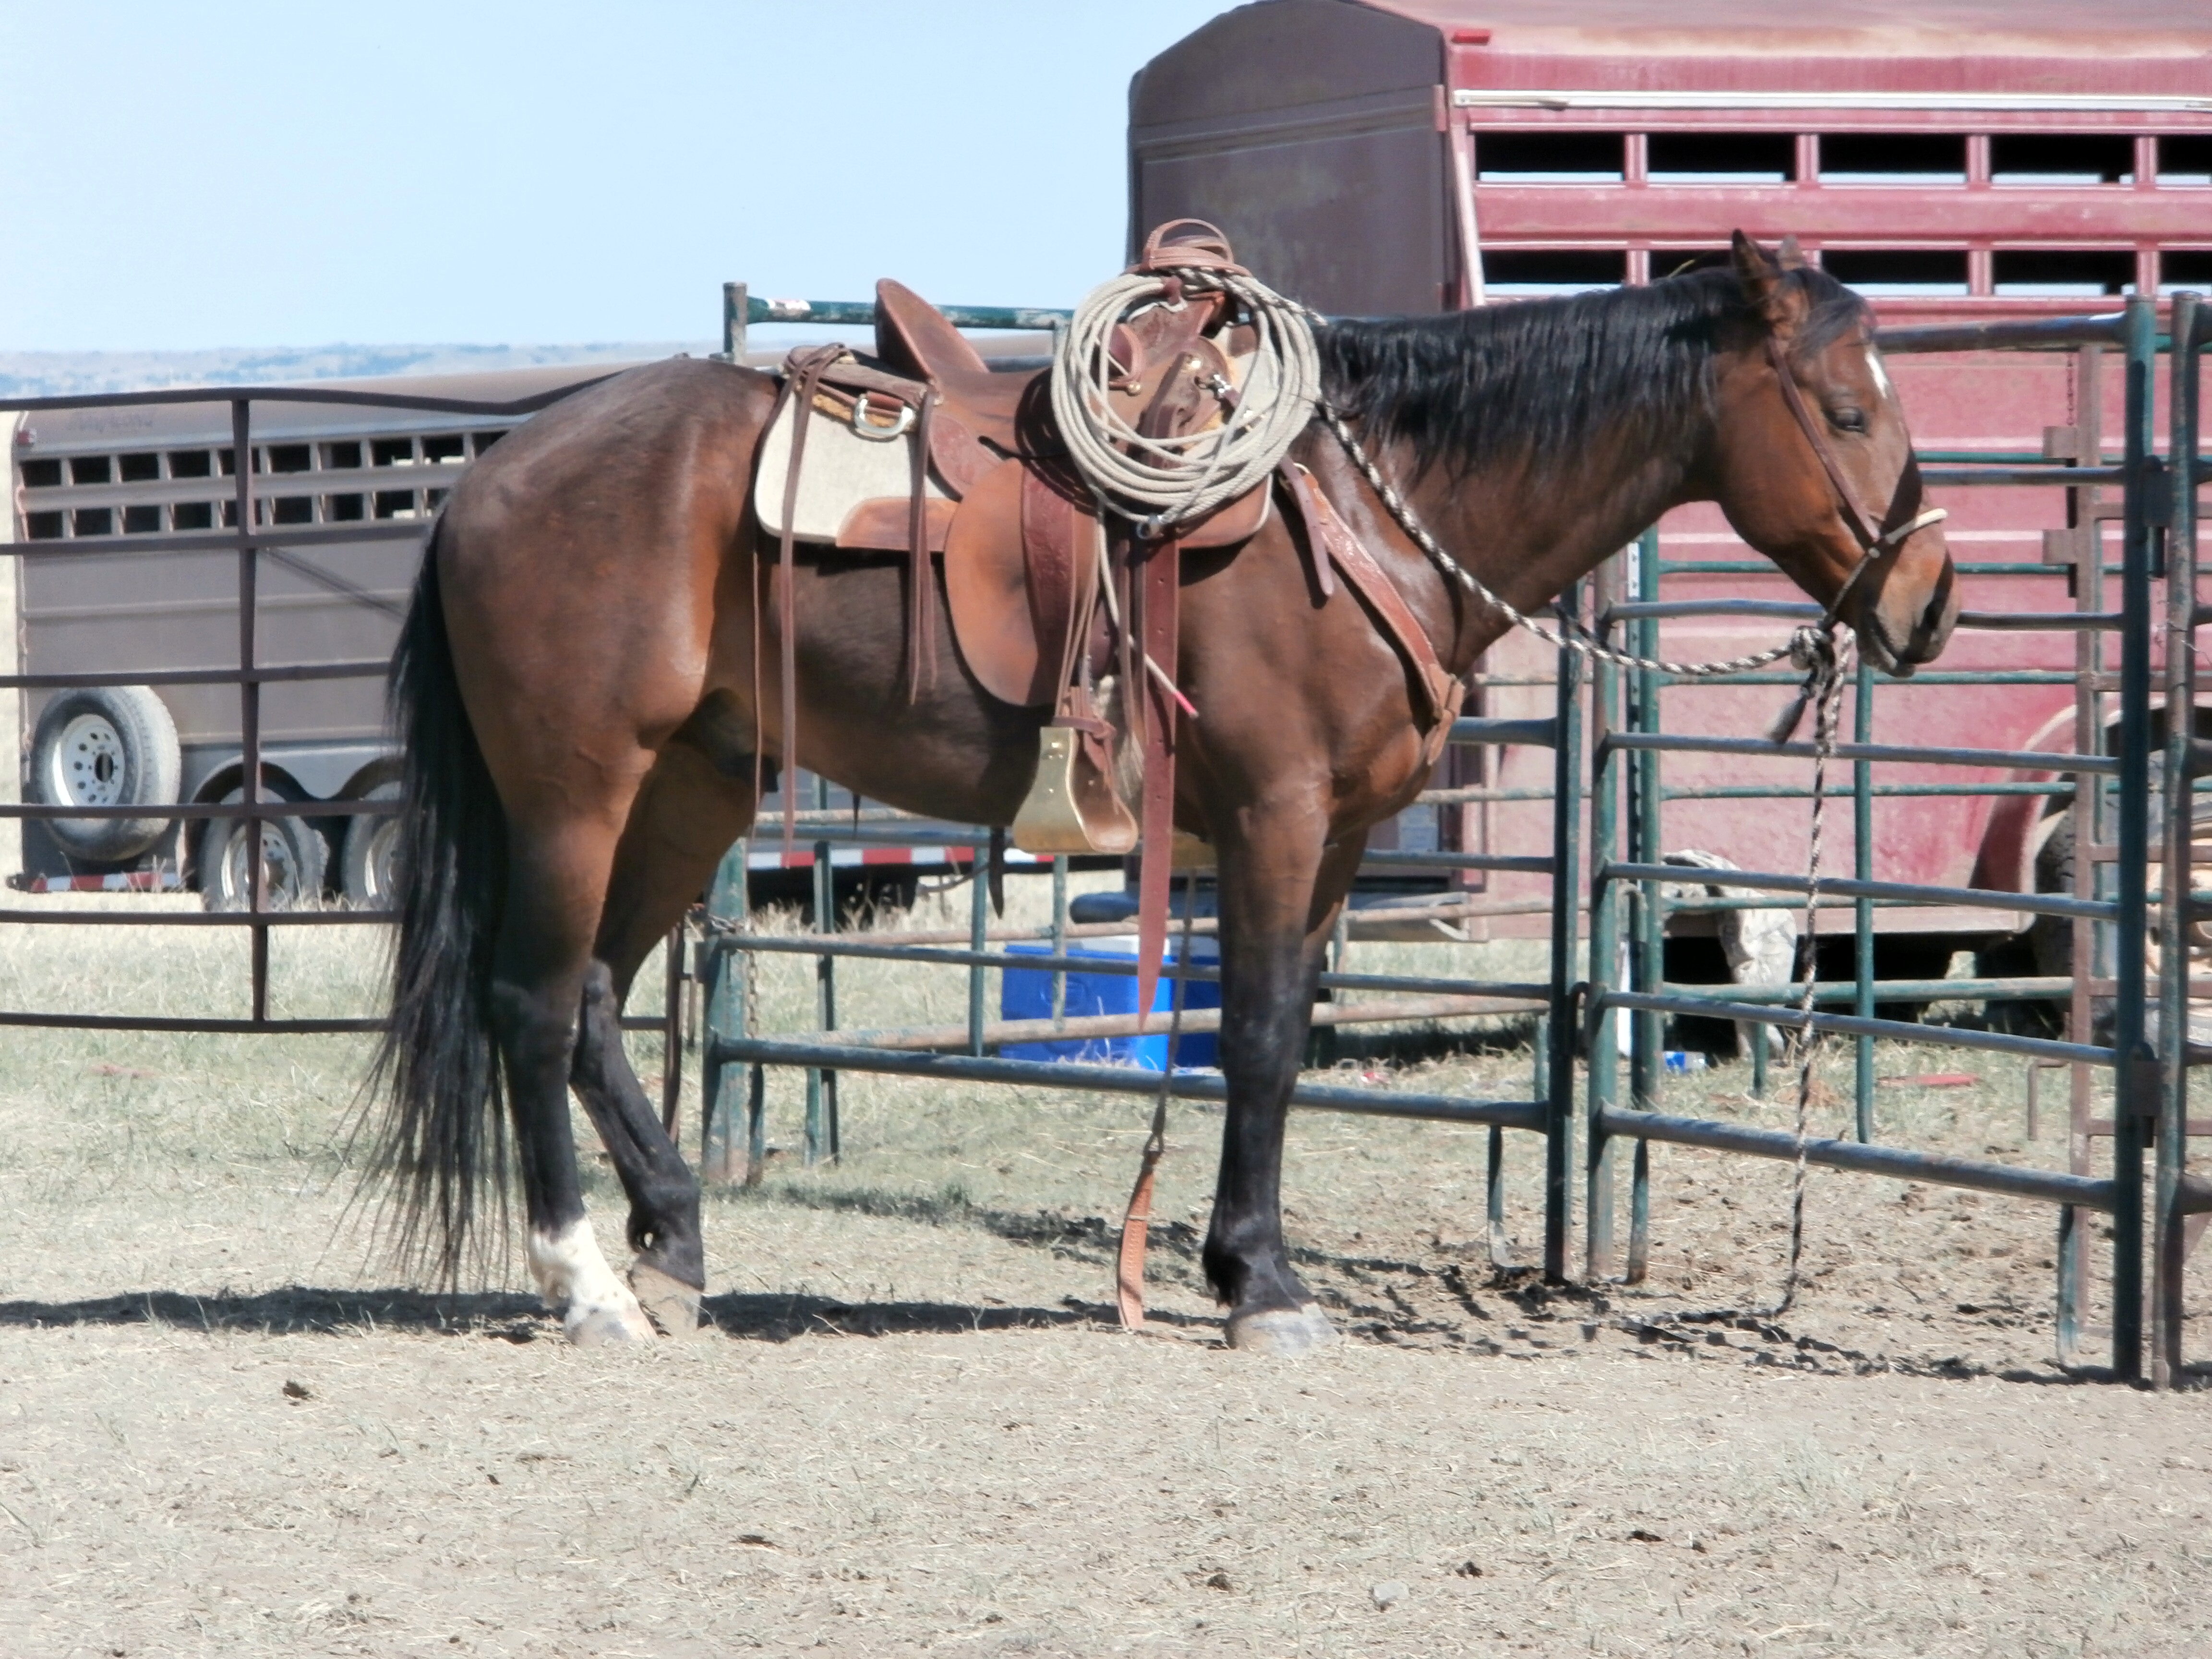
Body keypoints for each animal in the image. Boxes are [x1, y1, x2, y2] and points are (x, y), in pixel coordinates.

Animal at [365, 231, 1956, 1353]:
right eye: (1841, 408)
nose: (1932, 603)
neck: (1368, 508)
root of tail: (491, 478)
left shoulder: (1335, 841)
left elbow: (1288, 1037)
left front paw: (1241, 1261)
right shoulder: (1276, 818)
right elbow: (1250, 1037)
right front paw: (1266, 1290)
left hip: (695, 787)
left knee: (588, 1002)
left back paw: (678, 1251)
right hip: (577, 794)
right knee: (529, 1006)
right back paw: (587, 1285)